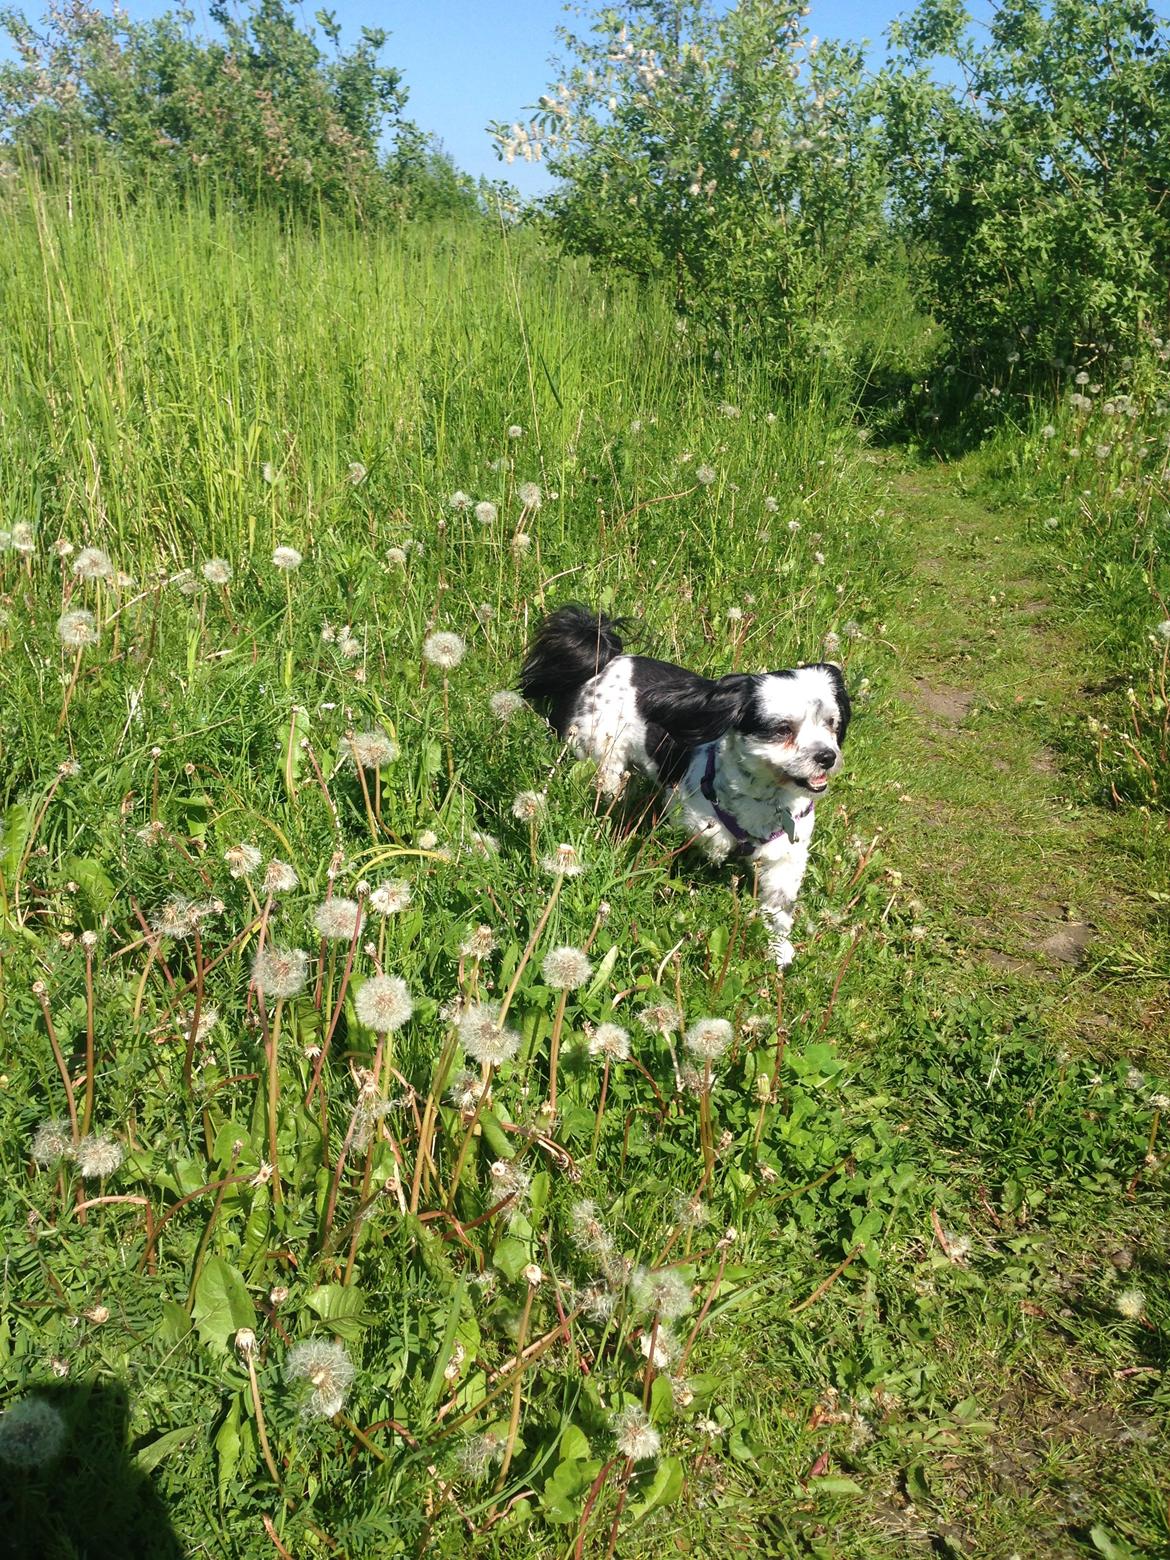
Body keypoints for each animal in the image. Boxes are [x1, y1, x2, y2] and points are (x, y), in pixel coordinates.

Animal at [521, 605, 854, 960]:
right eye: (783, 729)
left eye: (832, 724)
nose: (826, 756)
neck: (765, 799)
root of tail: (606, 658)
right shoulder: (690, 823)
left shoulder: (786, 856)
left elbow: (778, 907)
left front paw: (778, 949)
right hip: (601, 756)